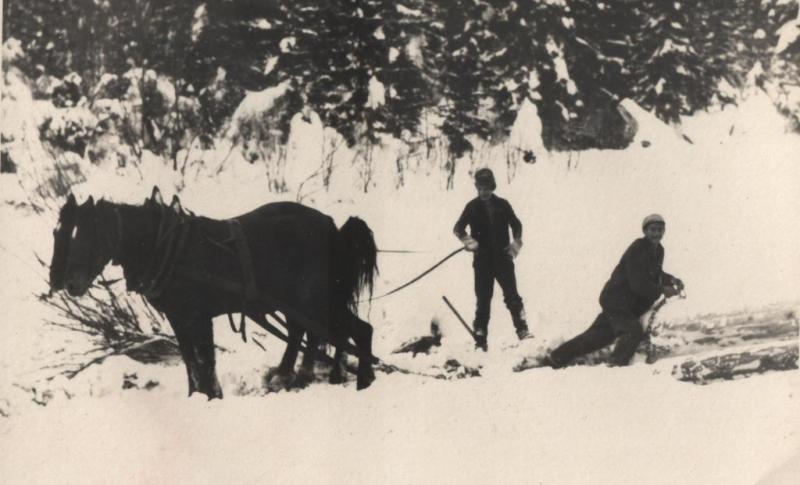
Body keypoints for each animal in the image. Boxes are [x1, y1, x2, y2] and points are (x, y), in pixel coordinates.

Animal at [51, 188, 380, 398]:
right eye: (59, 233)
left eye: (89, 235)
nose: (67, 283)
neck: (164, 245)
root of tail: (329, 224)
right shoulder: (178, 318)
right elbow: (190, 361)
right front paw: (195, 396)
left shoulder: (199, 315)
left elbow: (206, 360)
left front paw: (213, 396)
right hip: (297, 301)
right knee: (309, 332)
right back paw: (295, 376)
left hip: (313, 299)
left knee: (356, 330)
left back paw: (359, 380)